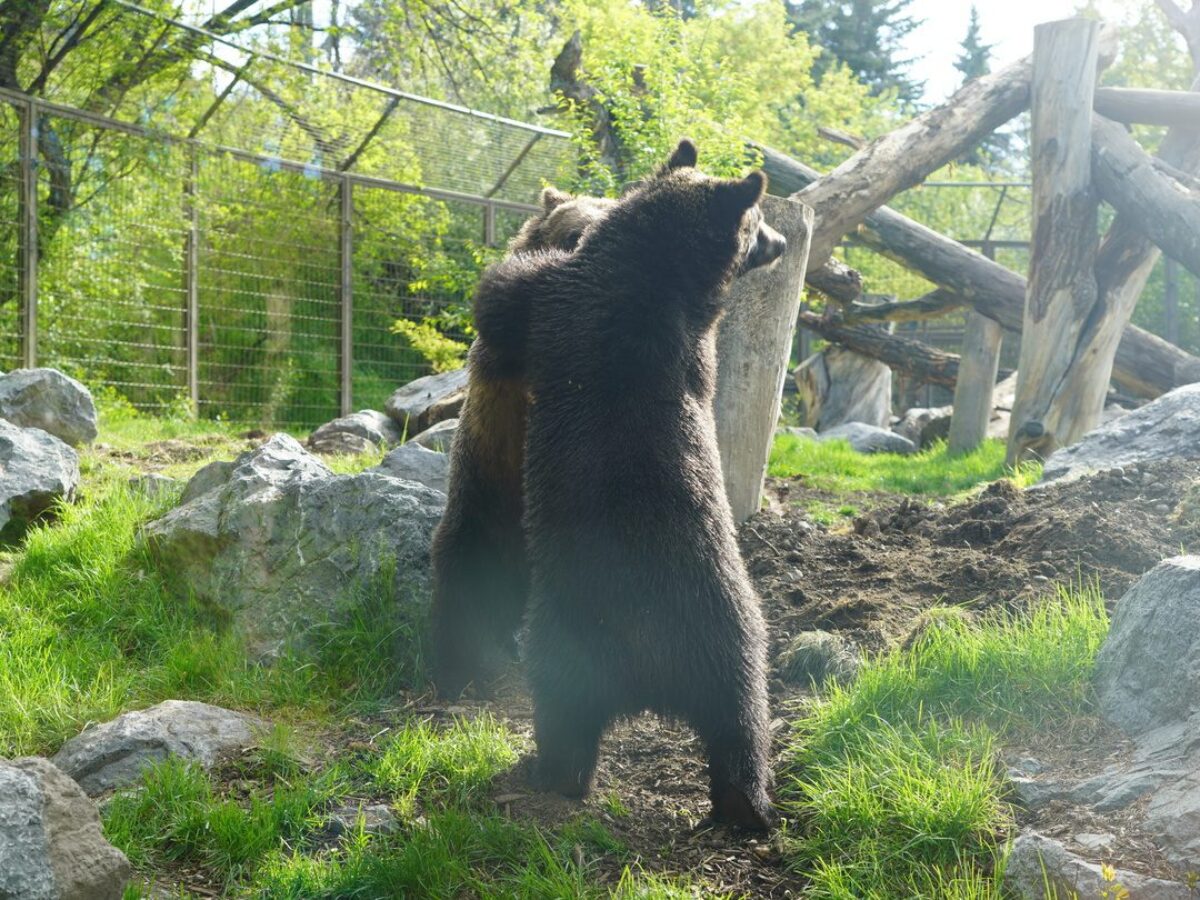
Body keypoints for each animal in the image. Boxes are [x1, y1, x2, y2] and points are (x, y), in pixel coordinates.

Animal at [471, 139, 787, 831]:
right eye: (757, 224)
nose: (779, 241)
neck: (649, 271)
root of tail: (650, 674)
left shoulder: (558, 305)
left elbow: (503, 297)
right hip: (715, 643)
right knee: (738, 722)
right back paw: (741, 804)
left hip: (585, 635)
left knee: (569, 716)